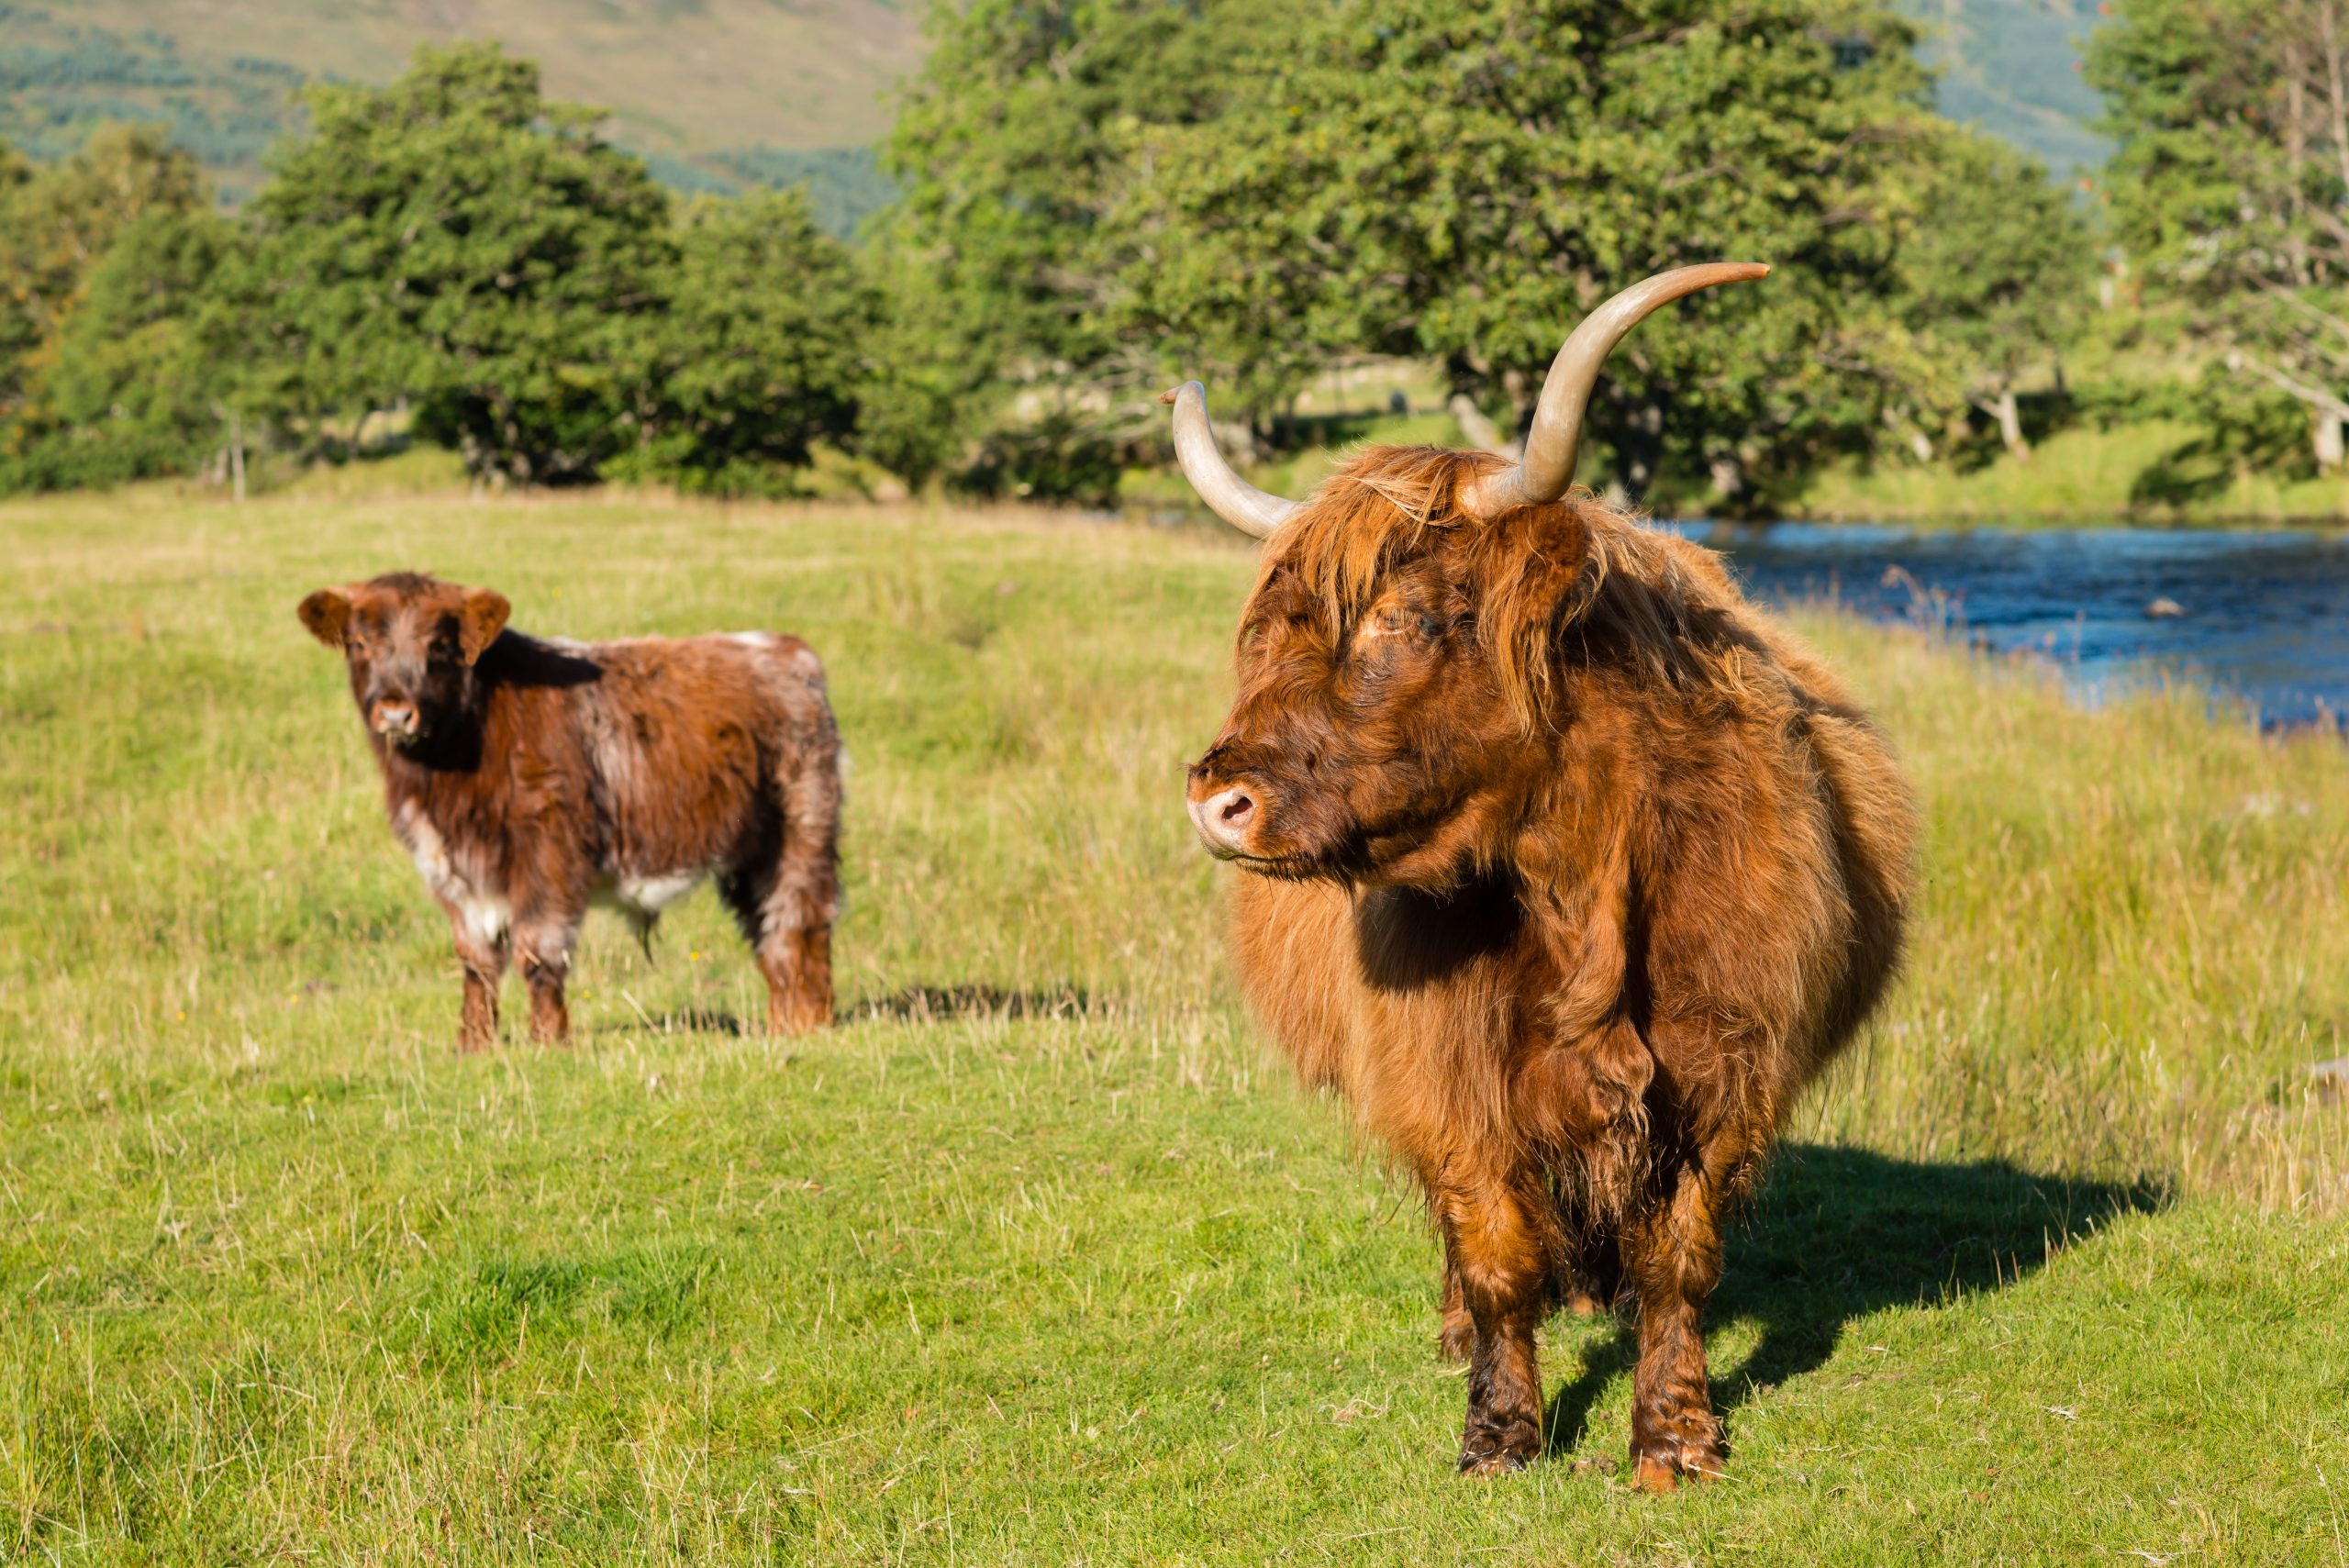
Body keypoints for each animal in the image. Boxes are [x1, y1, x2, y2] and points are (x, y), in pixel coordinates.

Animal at [298, 570, 841, 1047]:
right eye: (359, 643)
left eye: (439, 645)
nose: (394, 711)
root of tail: (786, 650)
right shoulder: (451, 869)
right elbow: (476, 960)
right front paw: (473, 1045)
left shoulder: (548, 853)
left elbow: (538, 950)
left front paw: (547, 1041)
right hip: (750, 855)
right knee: (771, 938)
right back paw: (781, 1027)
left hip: (800, 834)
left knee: (799, 926)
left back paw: (809, 1025)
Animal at [1164, 266, 1916, 1483]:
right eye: (1265, 636)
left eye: (1405, 618)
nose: (1215, 798)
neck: (1575, 887)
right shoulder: (1444, 1077)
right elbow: (1495, 1251)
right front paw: (1499, 1431)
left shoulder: (1725, 1064)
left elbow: (1679, 1255)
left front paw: (1675, 1436)